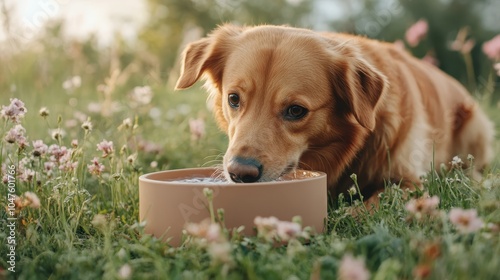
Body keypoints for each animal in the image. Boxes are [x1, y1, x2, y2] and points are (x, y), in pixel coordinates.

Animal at [174, 24, 494, 201]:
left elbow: (373, 205)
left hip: (474, 126)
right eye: (234, 99)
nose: (240, 173)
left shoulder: (412, 182)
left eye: (296, 110)